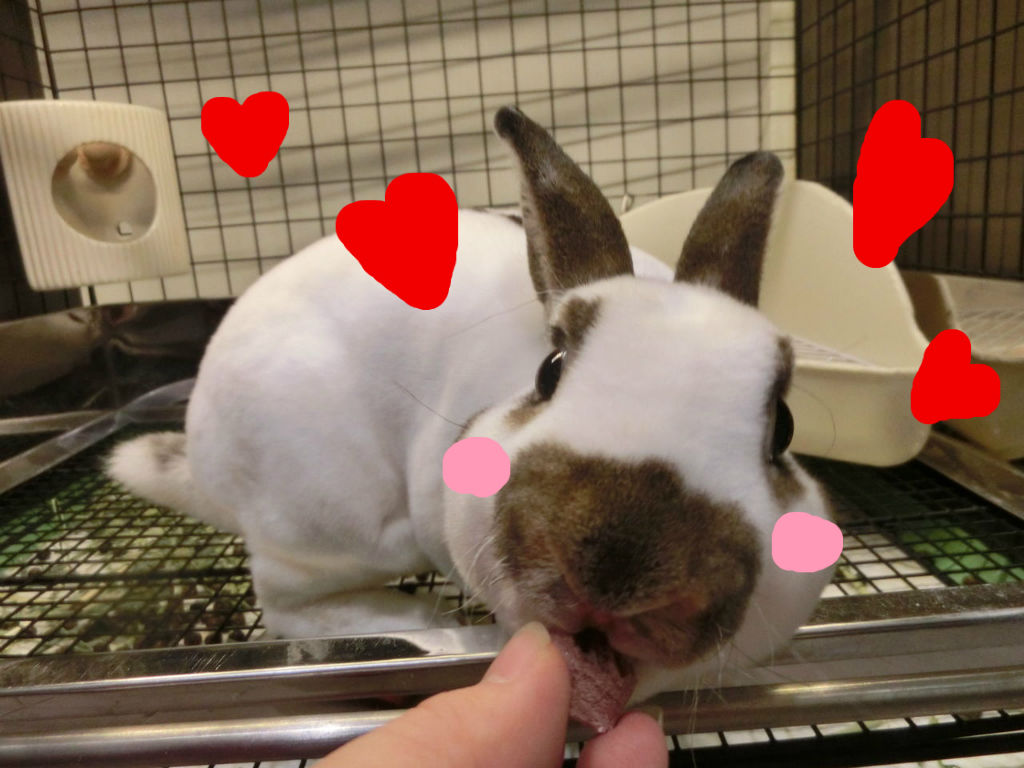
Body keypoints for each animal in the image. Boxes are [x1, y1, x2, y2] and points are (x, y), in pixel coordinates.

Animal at [108, 105, 835, 728]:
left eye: (784, 428)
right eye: (549, 371)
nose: (619, 569)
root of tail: (202, 454)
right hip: (338, 522)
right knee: (286, 602)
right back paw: (425, 624)